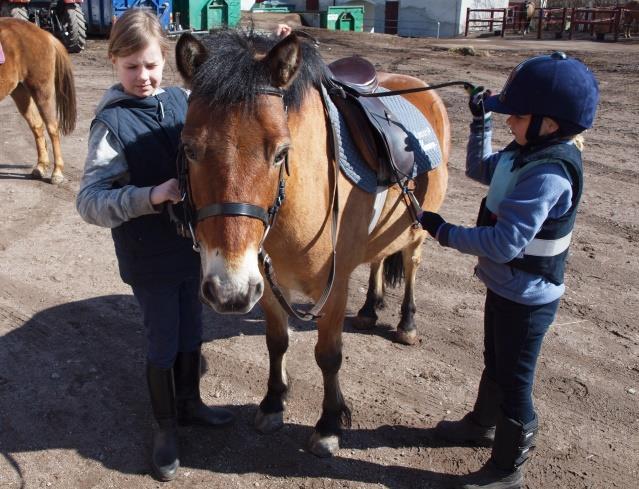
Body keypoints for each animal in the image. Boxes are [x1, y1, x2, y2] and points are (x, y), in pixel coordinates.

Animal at [0, 18, 76, 184]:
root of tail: (44, 34)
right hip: (20, 91)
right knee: (37, 126)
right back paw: (41, 166)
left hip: (42, 90)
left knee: (52, 128)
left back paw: (57, 172)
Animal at [172, 29, 448, 458]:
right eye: (189, 148)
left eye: (281, 153)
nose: (229, 292)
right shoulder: (265, 283)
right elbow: (276, 341)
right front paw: (272, 403)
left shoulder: (331, 289)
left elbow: (328, 356)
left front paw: (329, 424)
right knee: (377, 259)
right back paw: (369, 308)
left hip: (418, 229)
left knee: (411, 264)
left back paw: (406, 322)